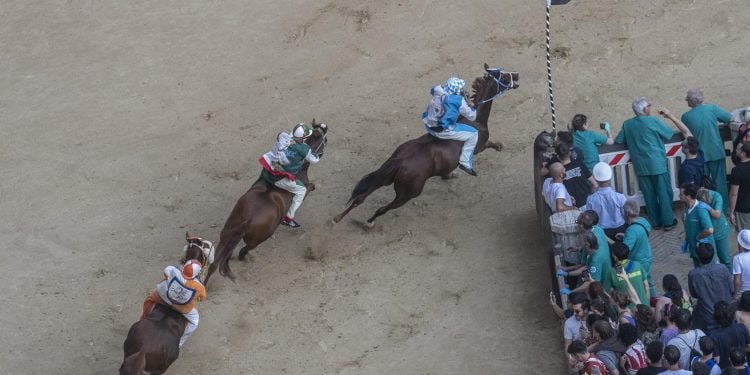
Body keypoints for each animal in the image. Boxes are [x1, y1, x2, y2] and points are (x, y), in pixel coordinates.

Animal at [203, 119, 328, 284]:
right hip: (258, 238)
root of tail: (247, 220)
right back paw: (244, 258)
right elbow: (310, 187)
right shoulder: (304, 188)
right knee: (243, 250)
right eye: (324, 140)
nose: (326, 127)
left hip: (227, 234)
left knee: (215, 263)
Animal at [336, 65, 524, 226]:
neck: (475, 120)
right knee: (382, 208)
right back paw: (369, 222)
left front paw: (449, 175)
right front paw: (499, 146)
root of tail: (400, 161)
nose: (517, 74)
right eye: (504, 76)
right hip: (408, 192)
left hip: (385, 177)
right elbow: (489, 145)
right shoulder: (479, 145)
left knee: (361, 196)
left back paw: (337, 218)